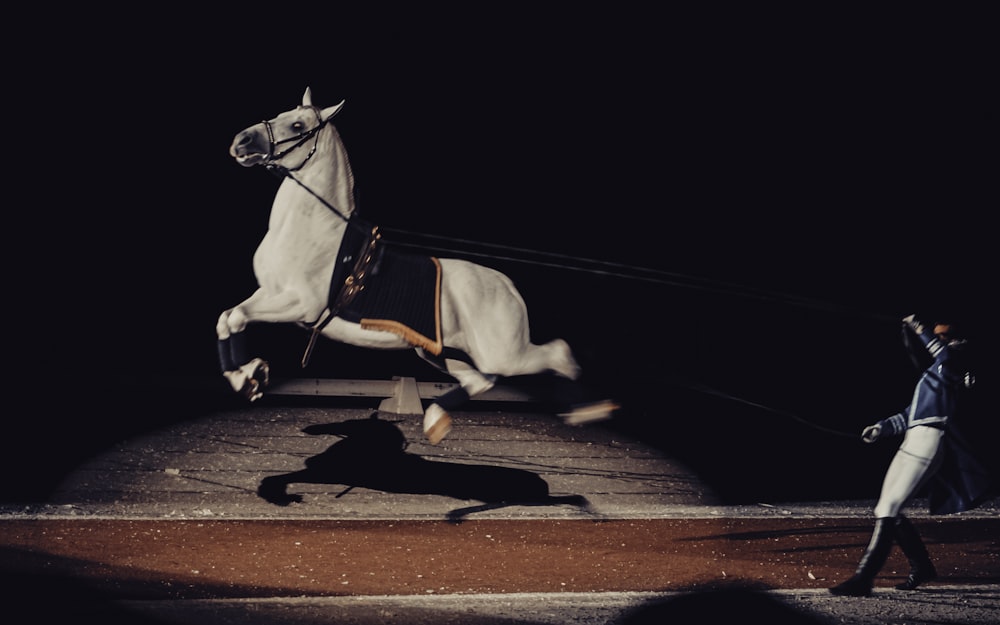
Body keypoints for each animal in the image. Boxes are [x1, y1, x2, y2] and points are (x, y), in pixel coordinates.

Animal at [215, 88, 612, 442]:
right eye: (280, 113)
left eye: (297, 125)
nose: (241, 141)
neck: (313, 230)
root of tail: (508, 286)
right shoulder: (268, 293)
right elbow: (229, 318)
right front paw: (248, 377)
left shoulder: (298, 303)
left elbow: (236, 318)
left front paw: (249, 376)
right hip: (441, 353)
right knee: (480, 379)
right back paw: (435, 420)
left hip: (505, 354)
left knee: (557, 354)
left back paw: (589, 411)